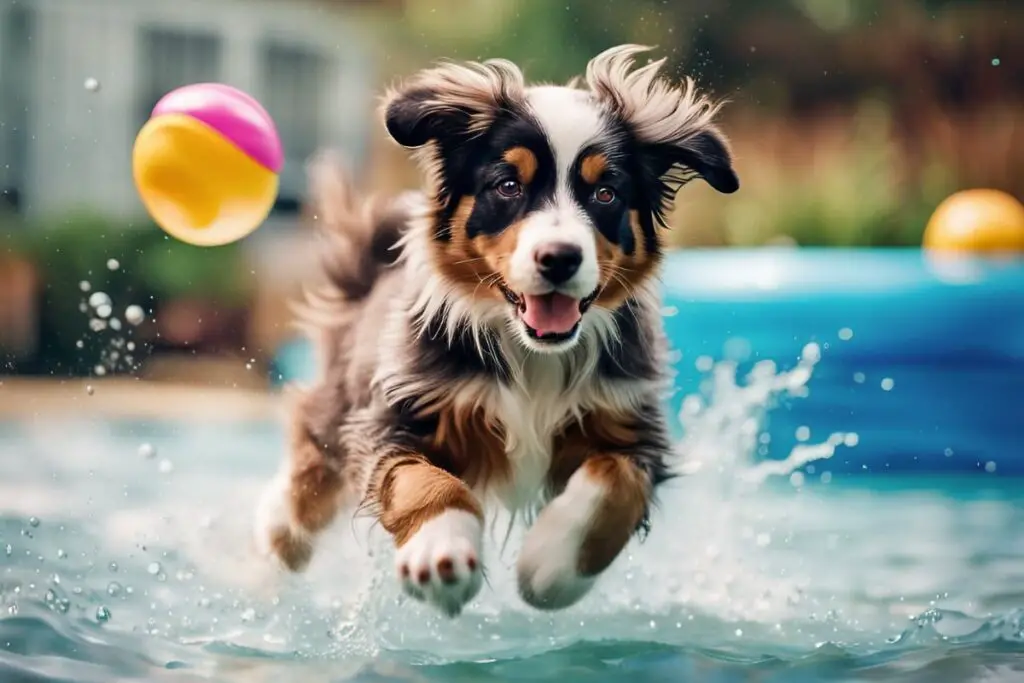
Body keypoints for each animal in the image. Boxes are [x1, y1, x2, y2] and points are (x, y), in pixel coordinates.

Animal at [253, 45, 737, 618]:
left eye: (605, 193)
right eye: (508, 186)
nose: (559, 258)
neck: (534, 353)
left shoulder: (632, 426)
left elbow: (611, 487)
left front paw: (551, 566)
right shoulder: (394, 414)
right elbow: (423, 480)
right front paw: (439, 553)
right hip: (336, 411)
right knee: (301, 502)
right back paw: (272, 540)